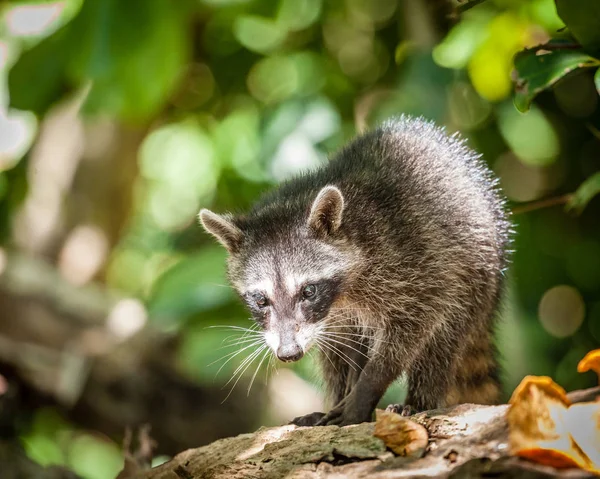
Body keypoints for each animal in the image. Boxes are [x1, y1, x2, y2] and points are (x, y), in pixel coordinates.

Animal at [199, 116, 508, 428]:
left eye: (308, 291)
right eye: (261, 300)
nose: (289, 354)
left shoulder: (412, 263)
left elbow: (414, 326)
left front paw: (366, 389)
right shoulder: (330, 318)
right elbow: (339, 351)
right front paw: (344, 397)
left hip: (472, 276)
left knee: (443, 339)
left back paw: (420, 401)